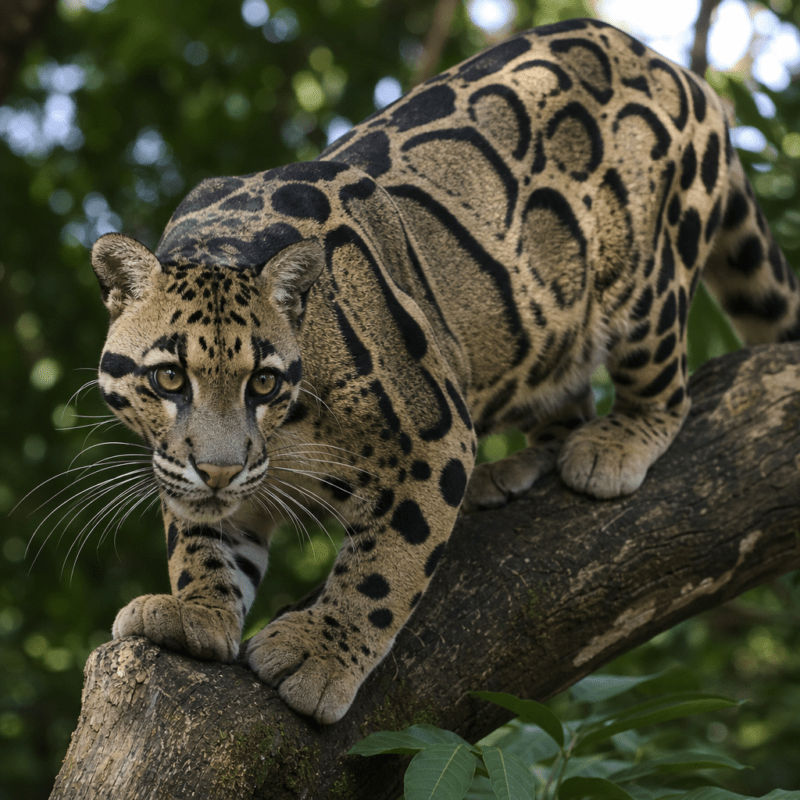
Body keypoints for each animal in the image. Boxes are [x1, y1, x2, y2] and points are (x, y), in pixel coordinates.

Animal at [89, 18, 800, 724]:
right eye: (169, 378)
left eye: (263, 383)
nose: (219, 470)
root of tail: (673, 68)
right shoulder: (194, 470)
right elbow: (202, 539)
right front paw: (198, 611)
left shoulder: (431, 438)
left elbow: (386, 566)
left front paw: (320, 654)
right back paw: (518, 467)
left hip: (646, 282)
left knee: (665, 387)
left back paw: (614, 444)